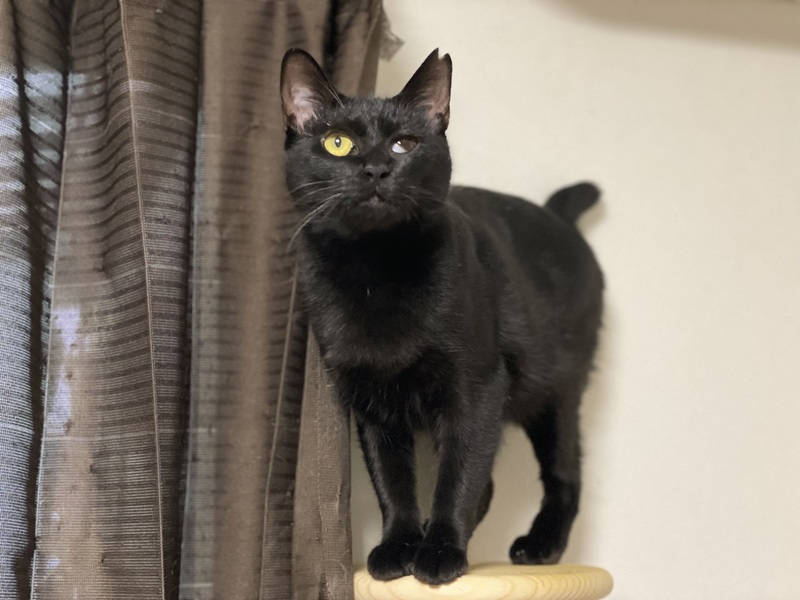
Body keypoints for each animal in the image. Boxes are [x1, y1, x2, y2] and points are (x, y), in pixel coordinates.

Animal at [280, 48, 603, 585]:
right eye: (337, 143)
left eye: (405, 144)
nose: (376, 169)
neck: (373, 273)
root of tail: (558, 216)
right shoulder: (370, 401)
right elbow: (392, 480)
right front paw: (398, 548)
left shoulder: (477, 388)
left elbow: (458, 476)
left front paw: (440, 552)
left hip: (554, 393)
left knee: (564, 475)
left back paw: (539, 546)